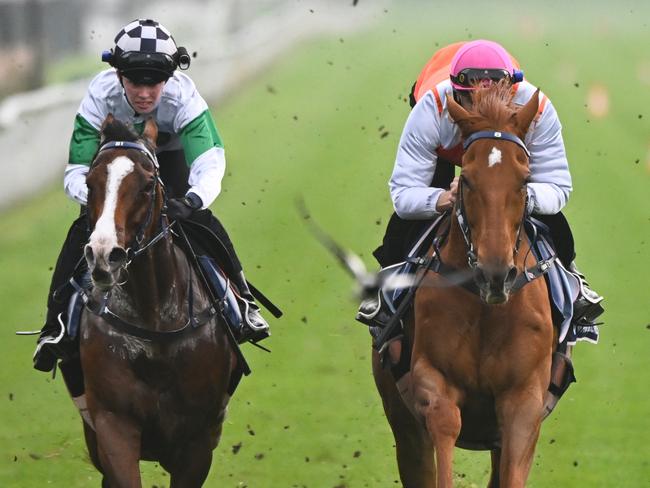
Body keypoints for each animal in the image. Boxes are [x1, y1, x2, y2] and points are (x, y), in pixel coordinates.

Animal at [372, 86, 556, 486]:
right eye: (468, 179)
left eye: (524, 179)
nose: (495, 273)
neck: (487, 310)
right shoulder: (432, 382)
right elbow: (443, 424)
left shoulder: (524, 398)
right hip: (402, 420)